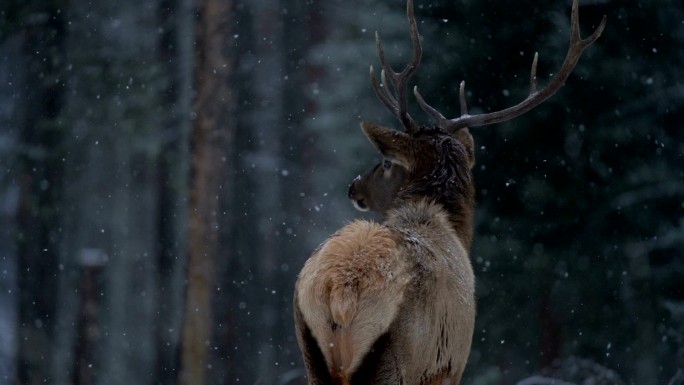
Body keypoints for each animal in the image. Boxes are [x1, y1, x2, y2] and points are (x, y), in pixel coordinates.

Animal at [292, 1, 604, 382]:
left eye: (385, 162)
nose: (353, 187)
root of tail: (340, 293)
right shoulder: (453, 361)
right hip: (401, 357)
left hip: (310, 345)